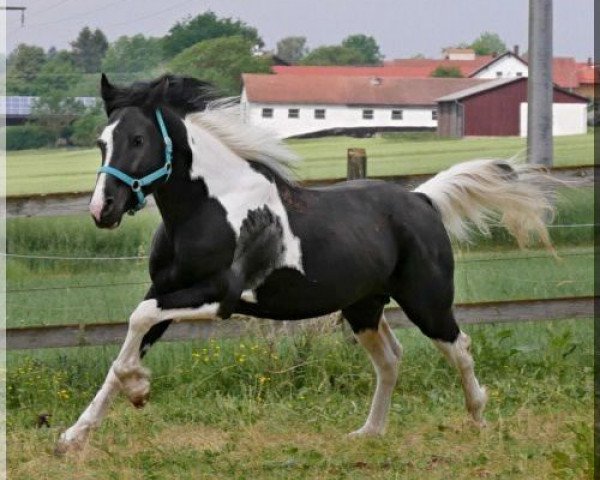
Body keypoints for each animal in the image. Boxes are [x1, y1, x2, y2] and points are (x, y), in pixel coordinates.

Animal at [57, 75, 552, 454]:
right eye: (102, 142)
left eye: (139, 140)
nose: (103, 209)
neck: (209, 210)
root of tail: (422, 200)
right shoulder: (164, 292)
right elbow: (126, 346)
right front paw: (74, 436)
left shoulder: (221, 296)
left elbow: (136, 324)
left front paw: (138, 390)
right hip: (363, 307)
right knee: (391, 360)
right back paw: (368, 433)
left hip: (426, 302)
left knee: (460, 346)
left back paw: (478, 419)